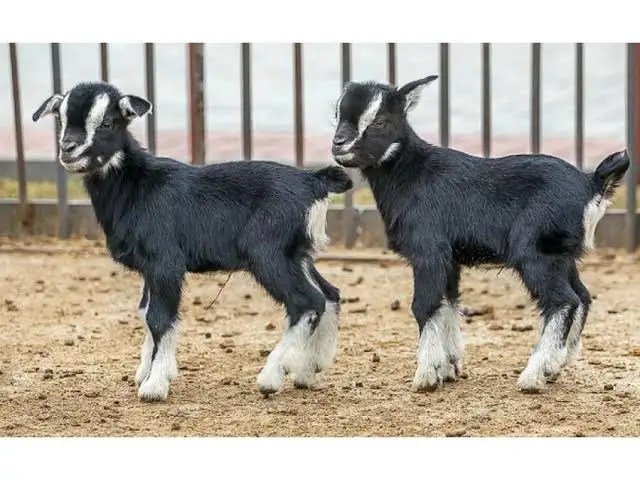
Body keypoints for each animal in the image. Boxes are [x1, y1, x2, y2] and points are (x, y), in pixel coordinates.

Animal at [32, 81, 353, 401]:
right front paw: (147, 371)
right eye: (61, 119)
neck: (135, 186)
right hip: (297, 254)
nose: (68, 149)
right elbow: (145, 312)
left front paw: (155, 385)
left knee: (307, 302)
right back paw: (309, 370)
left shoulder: (165, 262)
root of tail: (314, 182)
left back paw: (272, 377)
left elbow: (159, 318)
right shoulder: (150, 268)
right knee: (329, 294)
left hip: (269, 253)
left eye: (108, 123)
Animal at [330, 75, 629, 393]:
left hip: (536, 253)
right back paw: (556, 365)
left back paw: (534, 375)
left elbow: (424, 305)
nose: (339, 143)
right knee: (583, 296)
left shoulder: (429, 251)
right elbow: (448, 304)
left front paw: (426, 376)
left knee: (564, 300)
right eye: (337, 114)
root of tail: (592, 184)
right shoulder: (450, 260)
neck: (411, 175)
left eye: (380, 121)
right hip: (562, 255)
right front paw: (448, 366)